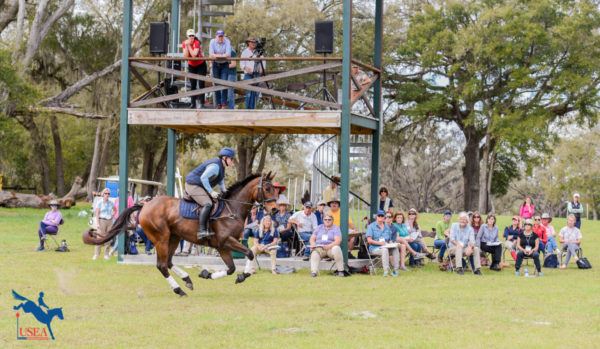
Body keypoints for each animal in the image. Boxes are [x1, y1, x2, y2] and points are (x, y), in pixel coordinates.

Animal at [82, 173, 278, 294]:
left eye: (276, 189)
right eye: (267, 189)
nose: (275, 209)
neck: (233, 208)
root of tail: (146, 205)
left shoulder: (222, 246)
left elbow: (230, 269)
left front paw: (207, 274)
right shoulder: (226, 241)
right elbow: (250, 253)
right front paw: (242, 275)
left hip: (174, 237)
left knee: (168, 262)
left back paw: (187, 279)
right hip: (161, 238)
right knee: (162, 265)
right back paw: (179, 289)